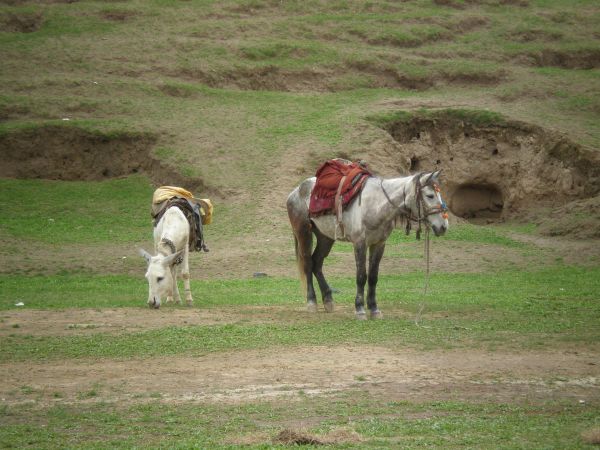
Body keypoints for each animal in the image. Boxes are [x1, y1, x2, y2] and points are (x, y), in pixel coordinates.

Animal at [288, 170, 450, 320]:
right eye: (430, 195)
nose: (443, 226)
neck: (376, 205)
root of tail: (295, 192)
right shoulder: (360, 244)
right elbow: (361, 276)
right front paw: (360, 309)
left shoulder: (379, 244)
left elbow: (373, 277)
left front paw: (374, 309)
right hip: (304, 233)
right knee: (308, 263)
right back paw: (311, 301)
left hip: (325, 237)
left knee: (317, 263)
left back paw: (328, 300)